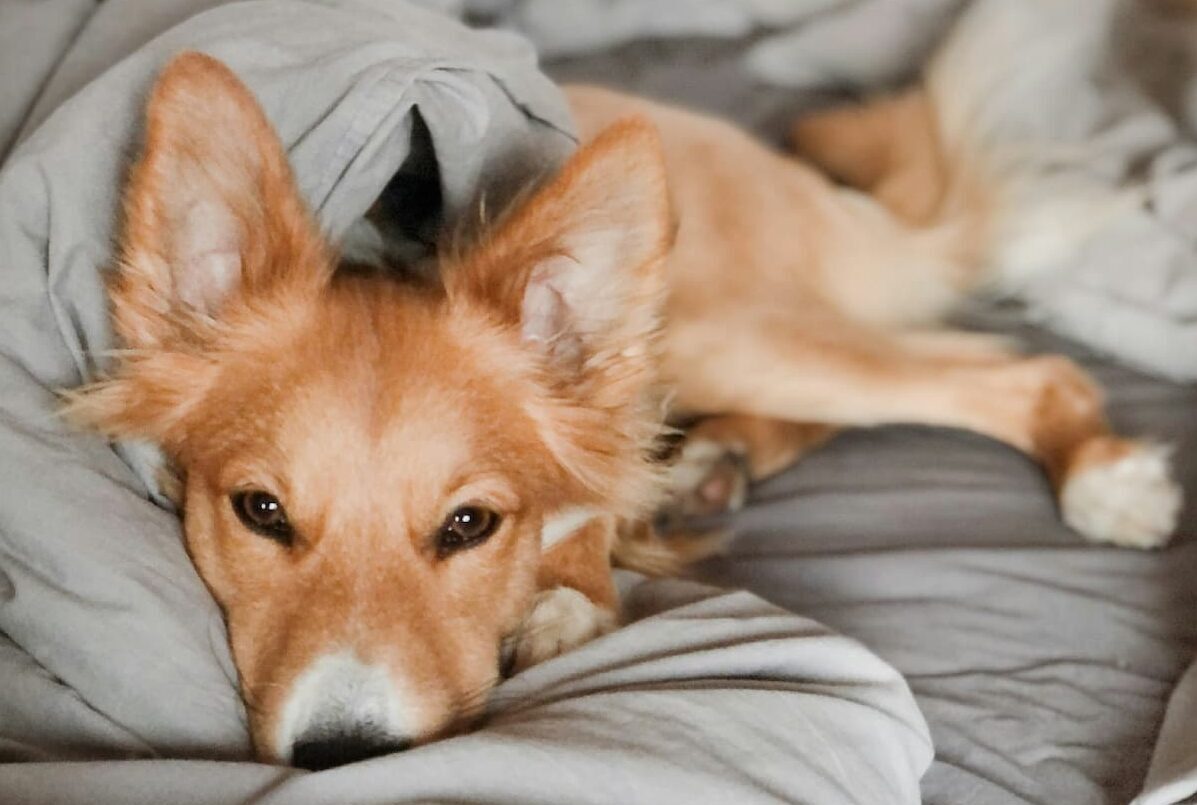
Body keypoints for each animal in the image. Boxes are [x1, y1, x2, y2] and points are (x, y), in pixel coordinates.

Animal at [70, 3, 1182, 775]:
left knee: (1015, 368)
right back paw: (711, 465)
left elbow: (589, 497)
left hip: (719, 325)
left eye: (470, 525)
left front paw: (566, 596)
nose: (343, 758)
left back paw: (1102, 477)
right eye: (260, 511)